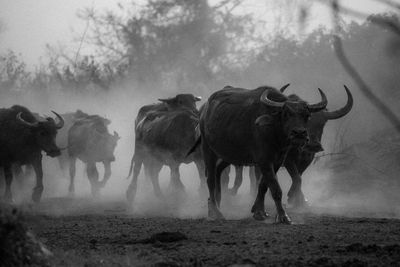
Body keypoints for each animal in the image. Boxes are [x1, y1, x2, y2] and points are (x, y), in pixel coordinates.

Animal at [198, 85, 326, 223]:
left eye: (306, 115)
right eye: (286, 114)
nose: (299, 133)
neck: (274, 133)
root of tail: (205, 110)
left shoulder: (277, 161)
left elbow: (263, 185)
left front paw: (259, 211)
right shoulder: (264, 161)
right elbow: (275, 188)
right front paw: (283, 216)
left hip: (229, 154)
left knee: (218, 170)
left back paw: (216, 203)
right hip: (207, 149)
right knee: (210, 179)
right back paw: (216, 212)